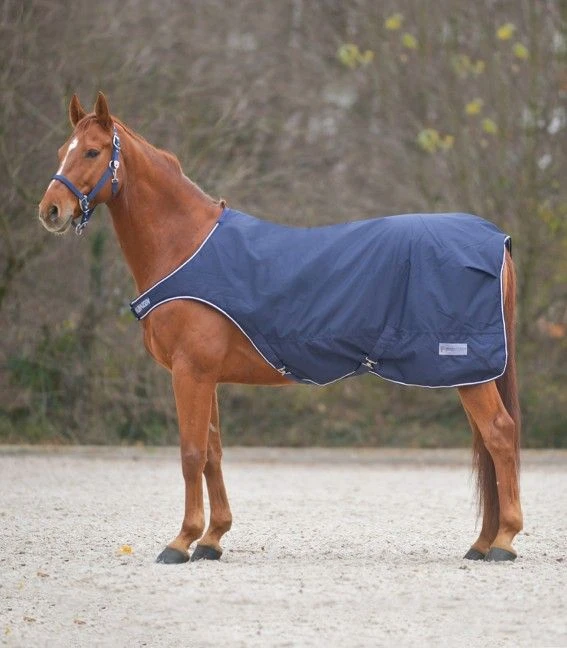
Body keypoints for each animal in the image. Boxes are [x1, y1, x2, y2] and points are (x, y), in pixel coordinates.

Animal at [38, 92, 522, 564]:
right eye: (62, 151)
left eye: (93, 151)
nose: (50, 210)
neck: (186, 246)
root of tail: (496, 240)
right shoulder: (206, 376)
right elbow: (212, 452)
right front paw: (212, 539)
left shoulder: (190, 372)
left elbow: (191, 453)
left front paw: (181, 541)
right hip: (469, 372)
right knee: (486, 442)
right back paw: (482, 543)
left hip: (466, 368)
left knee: (499, 434)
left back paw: (503, 541)